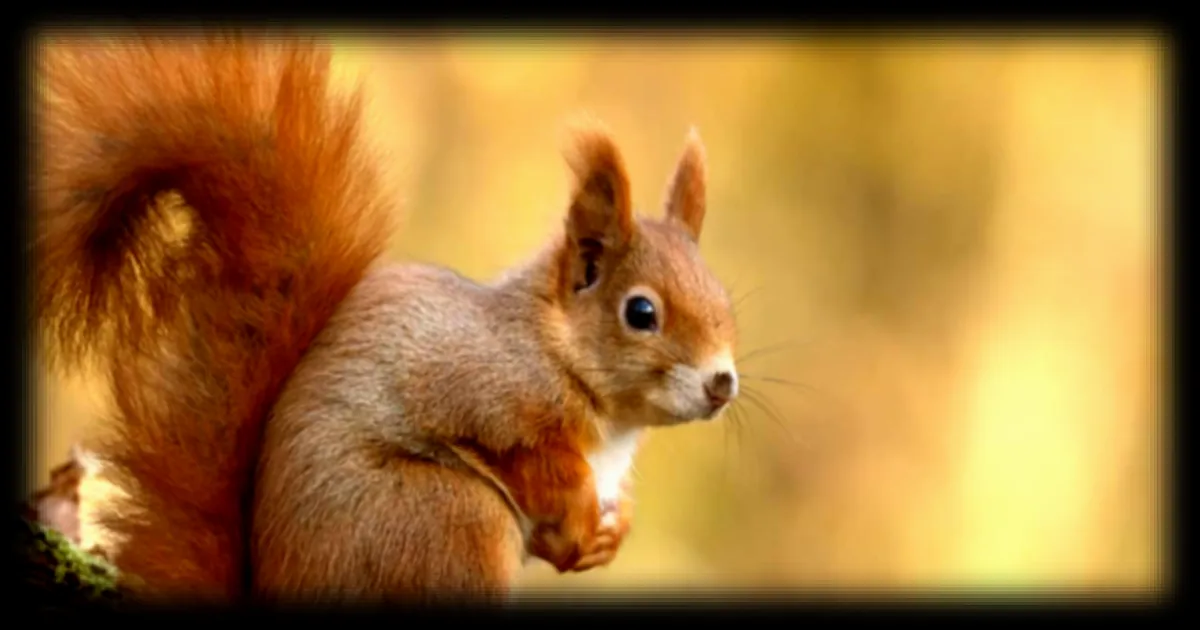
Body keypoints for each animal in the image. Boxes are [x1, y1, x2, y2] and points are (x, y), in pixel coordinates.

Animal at [35, 34, 739, 605]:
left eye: (726, 301)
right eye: (641, 312)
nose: (723, 383)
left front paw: (608, 536)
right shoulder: (482, 390)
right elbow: (523, 458)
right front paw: (579, 517)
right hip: (447, 518)